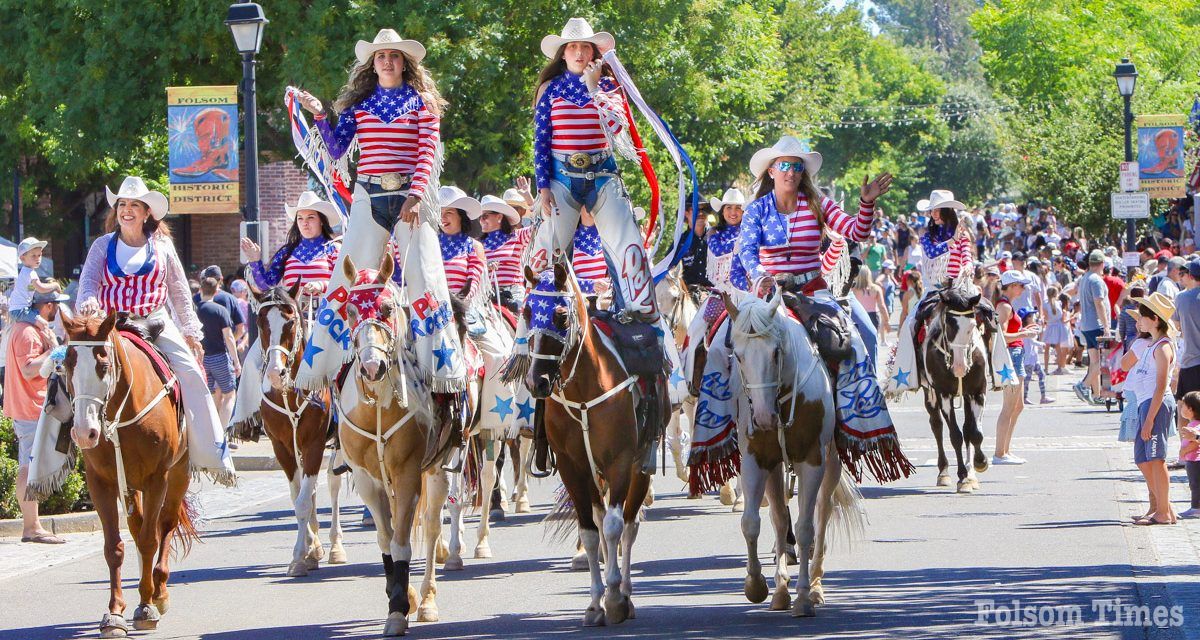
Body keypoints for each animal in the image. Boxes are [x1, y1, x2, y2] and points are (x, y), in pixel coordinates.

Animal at [61, 309, 199, 633]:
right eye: (68, 364)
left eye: (103, 365)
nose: (84, 432)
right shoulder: (101, 482)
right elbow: (114, 547)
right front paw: (114, 612)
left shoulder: (157, 478)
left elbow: (151, 539)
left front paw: (147, 605)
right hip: (130, 485)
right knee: (138, 528)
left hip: (178, 475)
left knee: (165, 524)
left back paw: (158, 591)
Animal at [336, 254, 451, 633]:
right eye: (350, 310)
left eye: (386, 308)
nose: (372, 367)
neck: (377, 407)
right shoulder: (367, 479)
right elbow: (386, 541)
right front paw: (398, 596)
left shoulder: (408, 474)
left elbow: (402, 543)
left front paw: (400, 609)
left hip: (436, 471)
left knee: (431, 526)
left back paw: (426, 600)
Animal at [520, 260, 667, 624]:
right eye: (527, 311)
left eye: (560, 316)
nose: (536, 381)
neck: (584, 391)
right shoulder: (572, 467)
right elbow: (590, 531)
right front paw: (594, 603)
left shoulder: (620, 462)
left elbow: (615, 527)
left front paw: (614, 598)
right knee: (603, 521)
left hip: (639, 469)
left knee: (628, 525)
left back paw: (626, 593)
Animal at [720, 289, 864, 614]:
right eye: (738, 355)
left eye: (776, 352)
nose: (763, 418)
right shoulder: (756, 460)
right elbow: (752, 522)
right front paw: (759, 586)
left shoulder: (812, 461)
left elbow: (806, 528)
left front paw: (802, 597)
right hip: (776, 468)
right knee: (779, 518)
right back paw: (781, 590)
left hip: (831, 462)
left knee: (822, 513)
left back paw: (815, 586)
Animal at [921, 286, 988, 492]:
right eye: (949, 325)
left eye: (973, 325)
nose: (960, 367)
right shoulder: (943, 394)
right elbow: (955, 435)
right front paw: (962, 476)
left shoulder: (978, 392)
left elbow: (975, 433)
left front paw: (979, 463)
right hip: (930, 394)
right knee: (937, 426)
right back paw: (943, 472)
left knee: (968, 428)